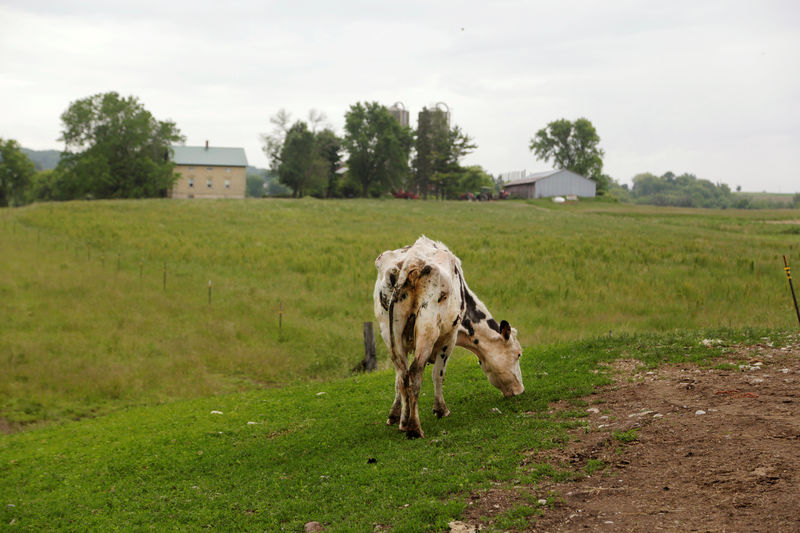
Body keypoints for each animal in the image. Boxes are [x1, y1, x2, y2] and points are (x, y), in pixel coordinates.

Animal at [376, 236, 524, 436]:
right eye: (518, 354)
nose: (520, 390)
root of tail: (410, 262)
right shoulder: (449, 338)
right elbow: (438, 374)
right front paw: (441, 409)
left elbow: (398, 380)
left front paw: (396, 416)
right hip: (428, 329)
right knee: (415, 372)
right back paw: (414, 428)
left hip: (389, 331)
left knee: (403, 374)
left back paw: (406, 423)